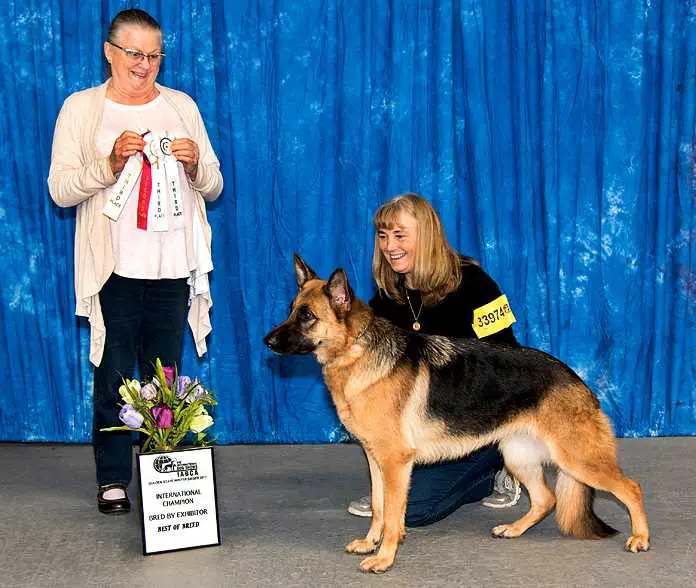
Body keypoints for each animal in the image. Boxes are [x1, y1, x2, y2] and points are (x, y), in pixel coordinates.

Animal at [264, 255, 648, 572]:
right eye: (291, 309)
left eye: (307, 316)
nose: (267, 341)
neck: (356, 350)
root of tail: (577, 380)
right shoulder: (376, 461)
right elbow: (378, 508)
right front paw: (370, 543)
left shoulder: (395, 463)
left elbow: (393, 516)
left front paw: (385, 558)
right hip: (518, 455)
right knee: (546, 498)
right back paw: (514, 529)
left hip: (578, 459)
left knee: (631, 487)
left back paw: (640, 537)